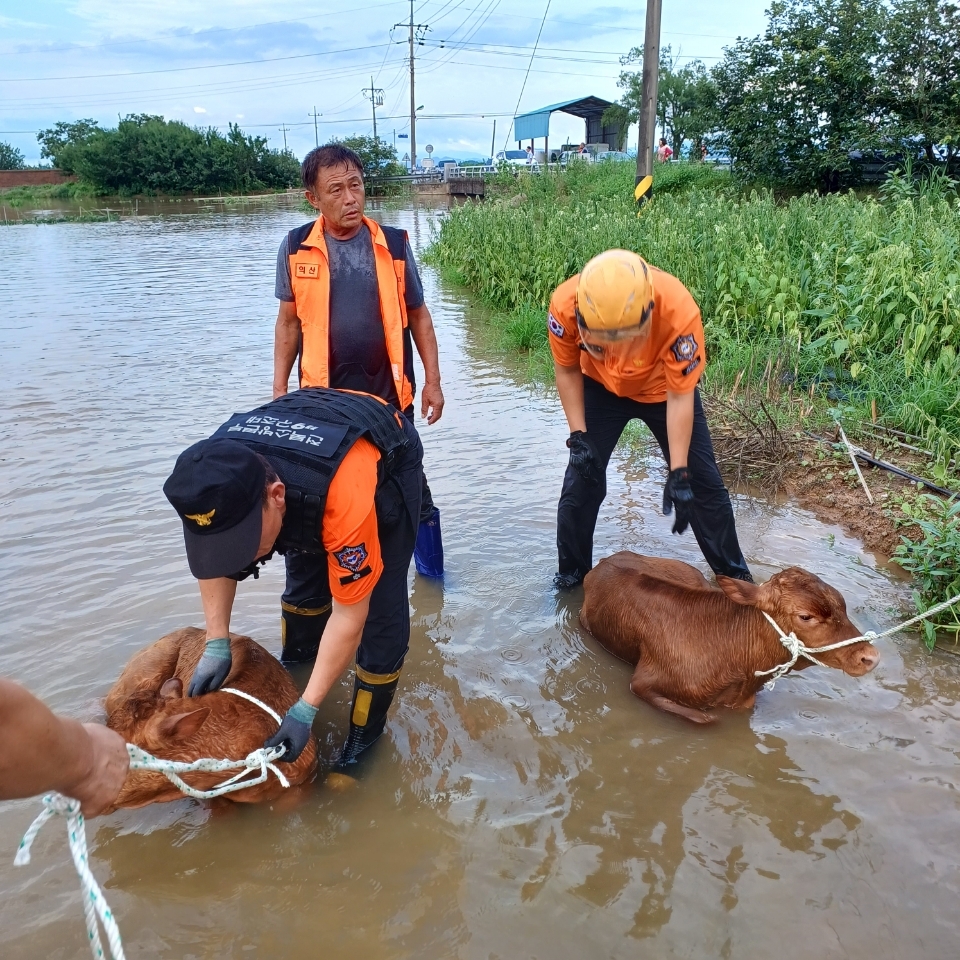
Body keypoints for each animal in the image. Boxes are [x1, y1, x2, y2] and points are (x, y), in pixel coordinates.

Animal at [580, 552, 880, 724]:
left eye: (843, 605)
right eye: (806, 616)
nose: (871, 657)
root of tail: (606, 561)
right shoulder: (642, 683)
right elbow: (707, 719)